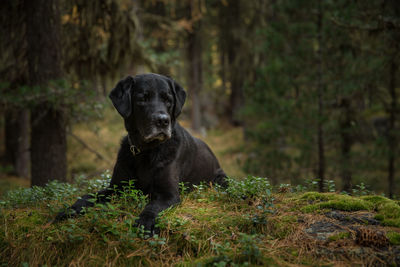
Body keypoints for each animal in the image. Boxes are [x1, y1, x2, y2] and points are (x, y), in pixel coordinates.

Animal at [55, 73, 227, 234]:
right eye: (143, 98)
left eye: (168, 100)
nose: (163, 121)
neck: (146, 151)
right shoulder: (116, 187)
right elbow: (89, 196)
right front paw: (69, 211)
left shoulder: (168, 194)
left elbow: (152, 207)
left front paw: (145, 223)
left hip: (221, 179)